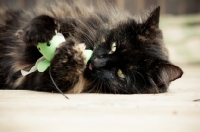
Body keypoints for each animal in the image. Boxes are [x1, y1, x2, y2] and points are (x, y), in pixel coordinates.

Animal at [0, 0, 183, 94]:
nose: (96, 63)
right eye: (114, 46)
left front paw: (71, 57)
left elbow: (58, 73)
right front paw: (35, 32)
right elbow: (49, 20)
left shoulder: (40, 81)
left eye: (121, 73)